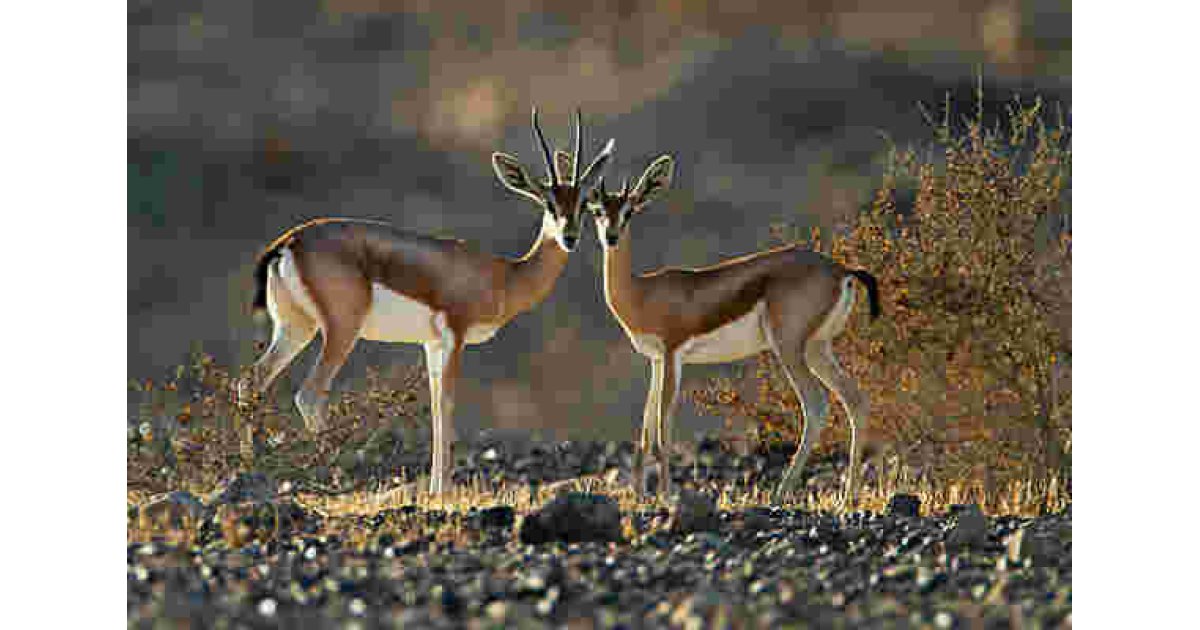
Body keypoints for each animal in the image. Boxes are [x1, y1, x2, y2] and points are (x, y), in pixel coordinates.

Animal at [237, 109, 615, 494]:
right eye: (549, 203)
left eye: (583, 203)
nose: (569, 237)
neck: (504, 277)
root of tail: (290, 241)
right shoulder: (455, 335)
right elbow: (447, 403)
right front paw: (443, 490)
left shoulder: (431, 344)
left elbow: (434, 407)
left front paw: (434, 489)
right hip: (341, 330)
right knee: (309, 394)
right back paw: (335, 475)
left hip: (297, 327)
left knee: (252, 381)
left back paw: (252, 466)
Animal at [586, 155, 881, 506]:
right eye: (597, 210)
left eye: (629, 211)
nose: (611, 237)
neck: (642, 292)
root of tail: (841, 270)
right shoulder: (656, 360)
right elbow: (645, 431)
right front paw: (640, 497)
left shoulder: (673, 354)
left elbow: (663, 429)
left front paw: (666, 497)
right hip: (817, 348)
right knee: (855, 400)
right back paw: (847, 498)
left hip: (789, 348)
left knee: (816, 406)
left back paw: (781, 494)